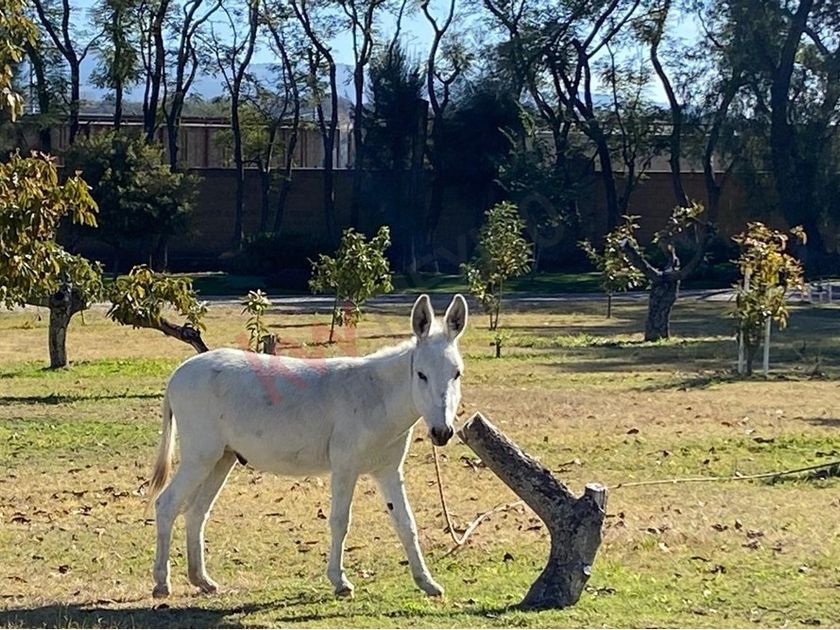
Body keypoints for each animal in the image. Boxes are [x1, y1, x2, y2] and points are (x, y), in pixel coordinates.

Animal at [147, 293, 468, 599]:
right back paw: (162, 582)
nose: (442, 433)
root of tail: (178, 373)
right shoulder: (345, 467)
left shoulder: (388, 470)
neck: (376, 397)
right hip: (200, 456)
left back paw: (201, 580)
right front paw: (339, 582)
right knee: (166, 504)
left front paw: (427, 582)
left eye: (457, 374)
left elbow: (406, 523)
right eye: (421, 374)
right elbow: (340, 521)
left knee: (196, 512)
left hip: (221, 459)